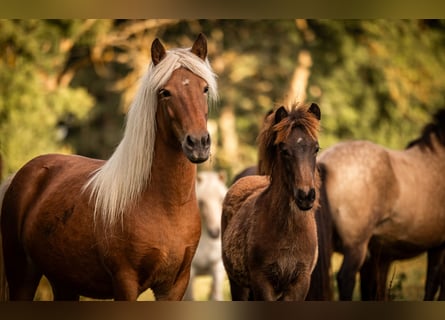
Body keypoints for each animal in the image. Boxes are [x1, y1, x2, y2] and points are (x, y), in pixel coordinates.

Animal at [0, 33, 217, 302]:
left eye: (204, 88)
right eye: (165, 92)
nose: (198, 143)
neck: (165, 207)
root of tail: (21, 175)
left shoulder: (174, 287)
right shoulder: (125, 283)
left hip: (65, 284)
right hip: (22, 275)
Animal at [183, 171, 227, 302]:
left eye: (221, 199)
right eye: (201, 202)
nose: (215, 233)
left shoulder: (217, 267)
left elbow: (216, 296)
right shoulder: (190, 273)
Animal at [221, 104, 320, 302]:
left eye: (316, 148)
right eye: (284, 150)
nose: (305, 196)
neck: (288, 232)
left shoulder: (300, 283)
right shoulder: (262, 282)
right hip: (238, 285)